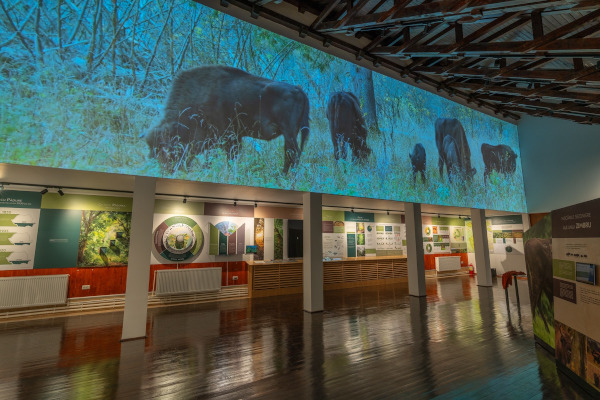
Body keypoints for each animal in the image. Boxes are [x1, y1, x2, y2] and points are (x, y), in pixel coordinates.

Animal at [141, 65, 310, 173]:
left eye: (165, 149)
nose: (167, 170)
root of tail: (299, 90)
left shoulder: (227, 136)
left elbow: (229, 156)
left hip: (289, 133)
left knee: (292, 154)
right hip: (291, 133)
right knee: (290, 154)